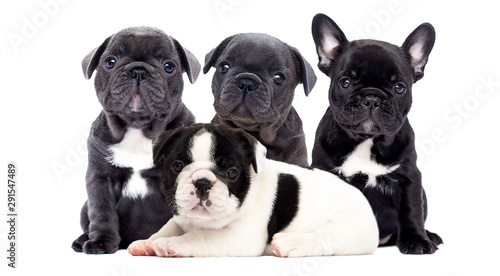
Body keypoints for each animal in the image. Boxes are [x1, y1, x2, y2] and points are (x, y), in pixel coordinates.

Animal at [71, 27, 203, 253]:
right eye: (110, 62)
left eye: (168, 66)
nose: (138, 71)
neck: (138, 127)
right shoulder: (100, 178)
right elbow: (102, 211)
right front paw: (101, 242)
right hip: (83, 207)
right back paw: (82, 239)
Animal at [127, 124, 376, 258]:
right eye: (177, 166)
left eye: (232, 173)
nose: (202, 182)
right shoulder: (181, 219)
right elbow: (168, 226)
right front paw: (146, 242)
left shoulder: (239, 237)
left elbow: (199, 236)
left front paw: (172, 244)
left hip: (348, 226)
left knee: (323, 239)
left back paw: (290, 244)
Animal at [310, 13, 444, 254]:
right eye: (345, 82)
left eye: (399, 88)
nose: (372, 98)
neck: (367, 141)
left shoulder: (410, 178)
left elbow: (411, 211)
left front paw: (417, 240)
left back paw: (429, 236)